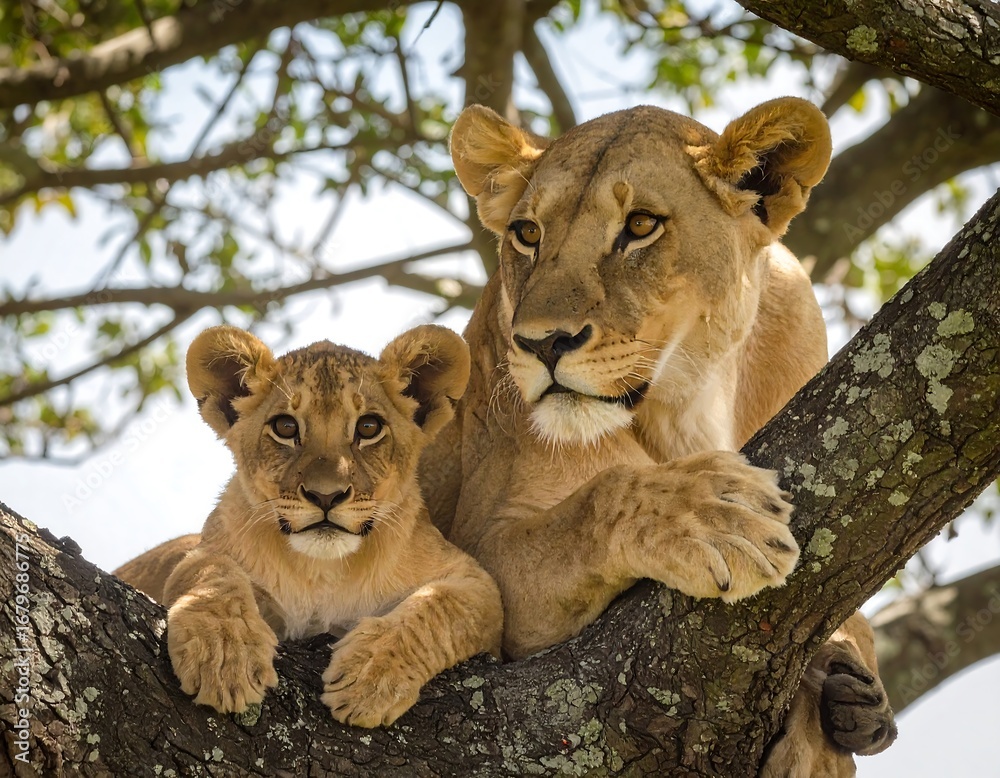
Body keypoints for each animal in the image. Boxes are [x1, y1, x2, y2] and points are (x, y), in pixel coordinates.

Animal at [114, 324, 503, 728]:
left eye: (369, 427)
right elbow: (211, 574)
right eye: (285, 427)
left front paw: (369, 679)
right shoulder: (206, 552)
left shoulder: (478, 585)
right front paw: (224, 660)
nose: (326, 495)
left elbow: (438, 608)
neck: (323, 571)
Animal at [417, 98, 895, 775]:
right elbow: (601, 498)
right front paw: (712, 517)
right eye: (527, 234)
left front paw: (843, 706)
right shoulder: (482, 557)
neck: (689, 398)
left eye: (641, 225)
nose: (541, 343)